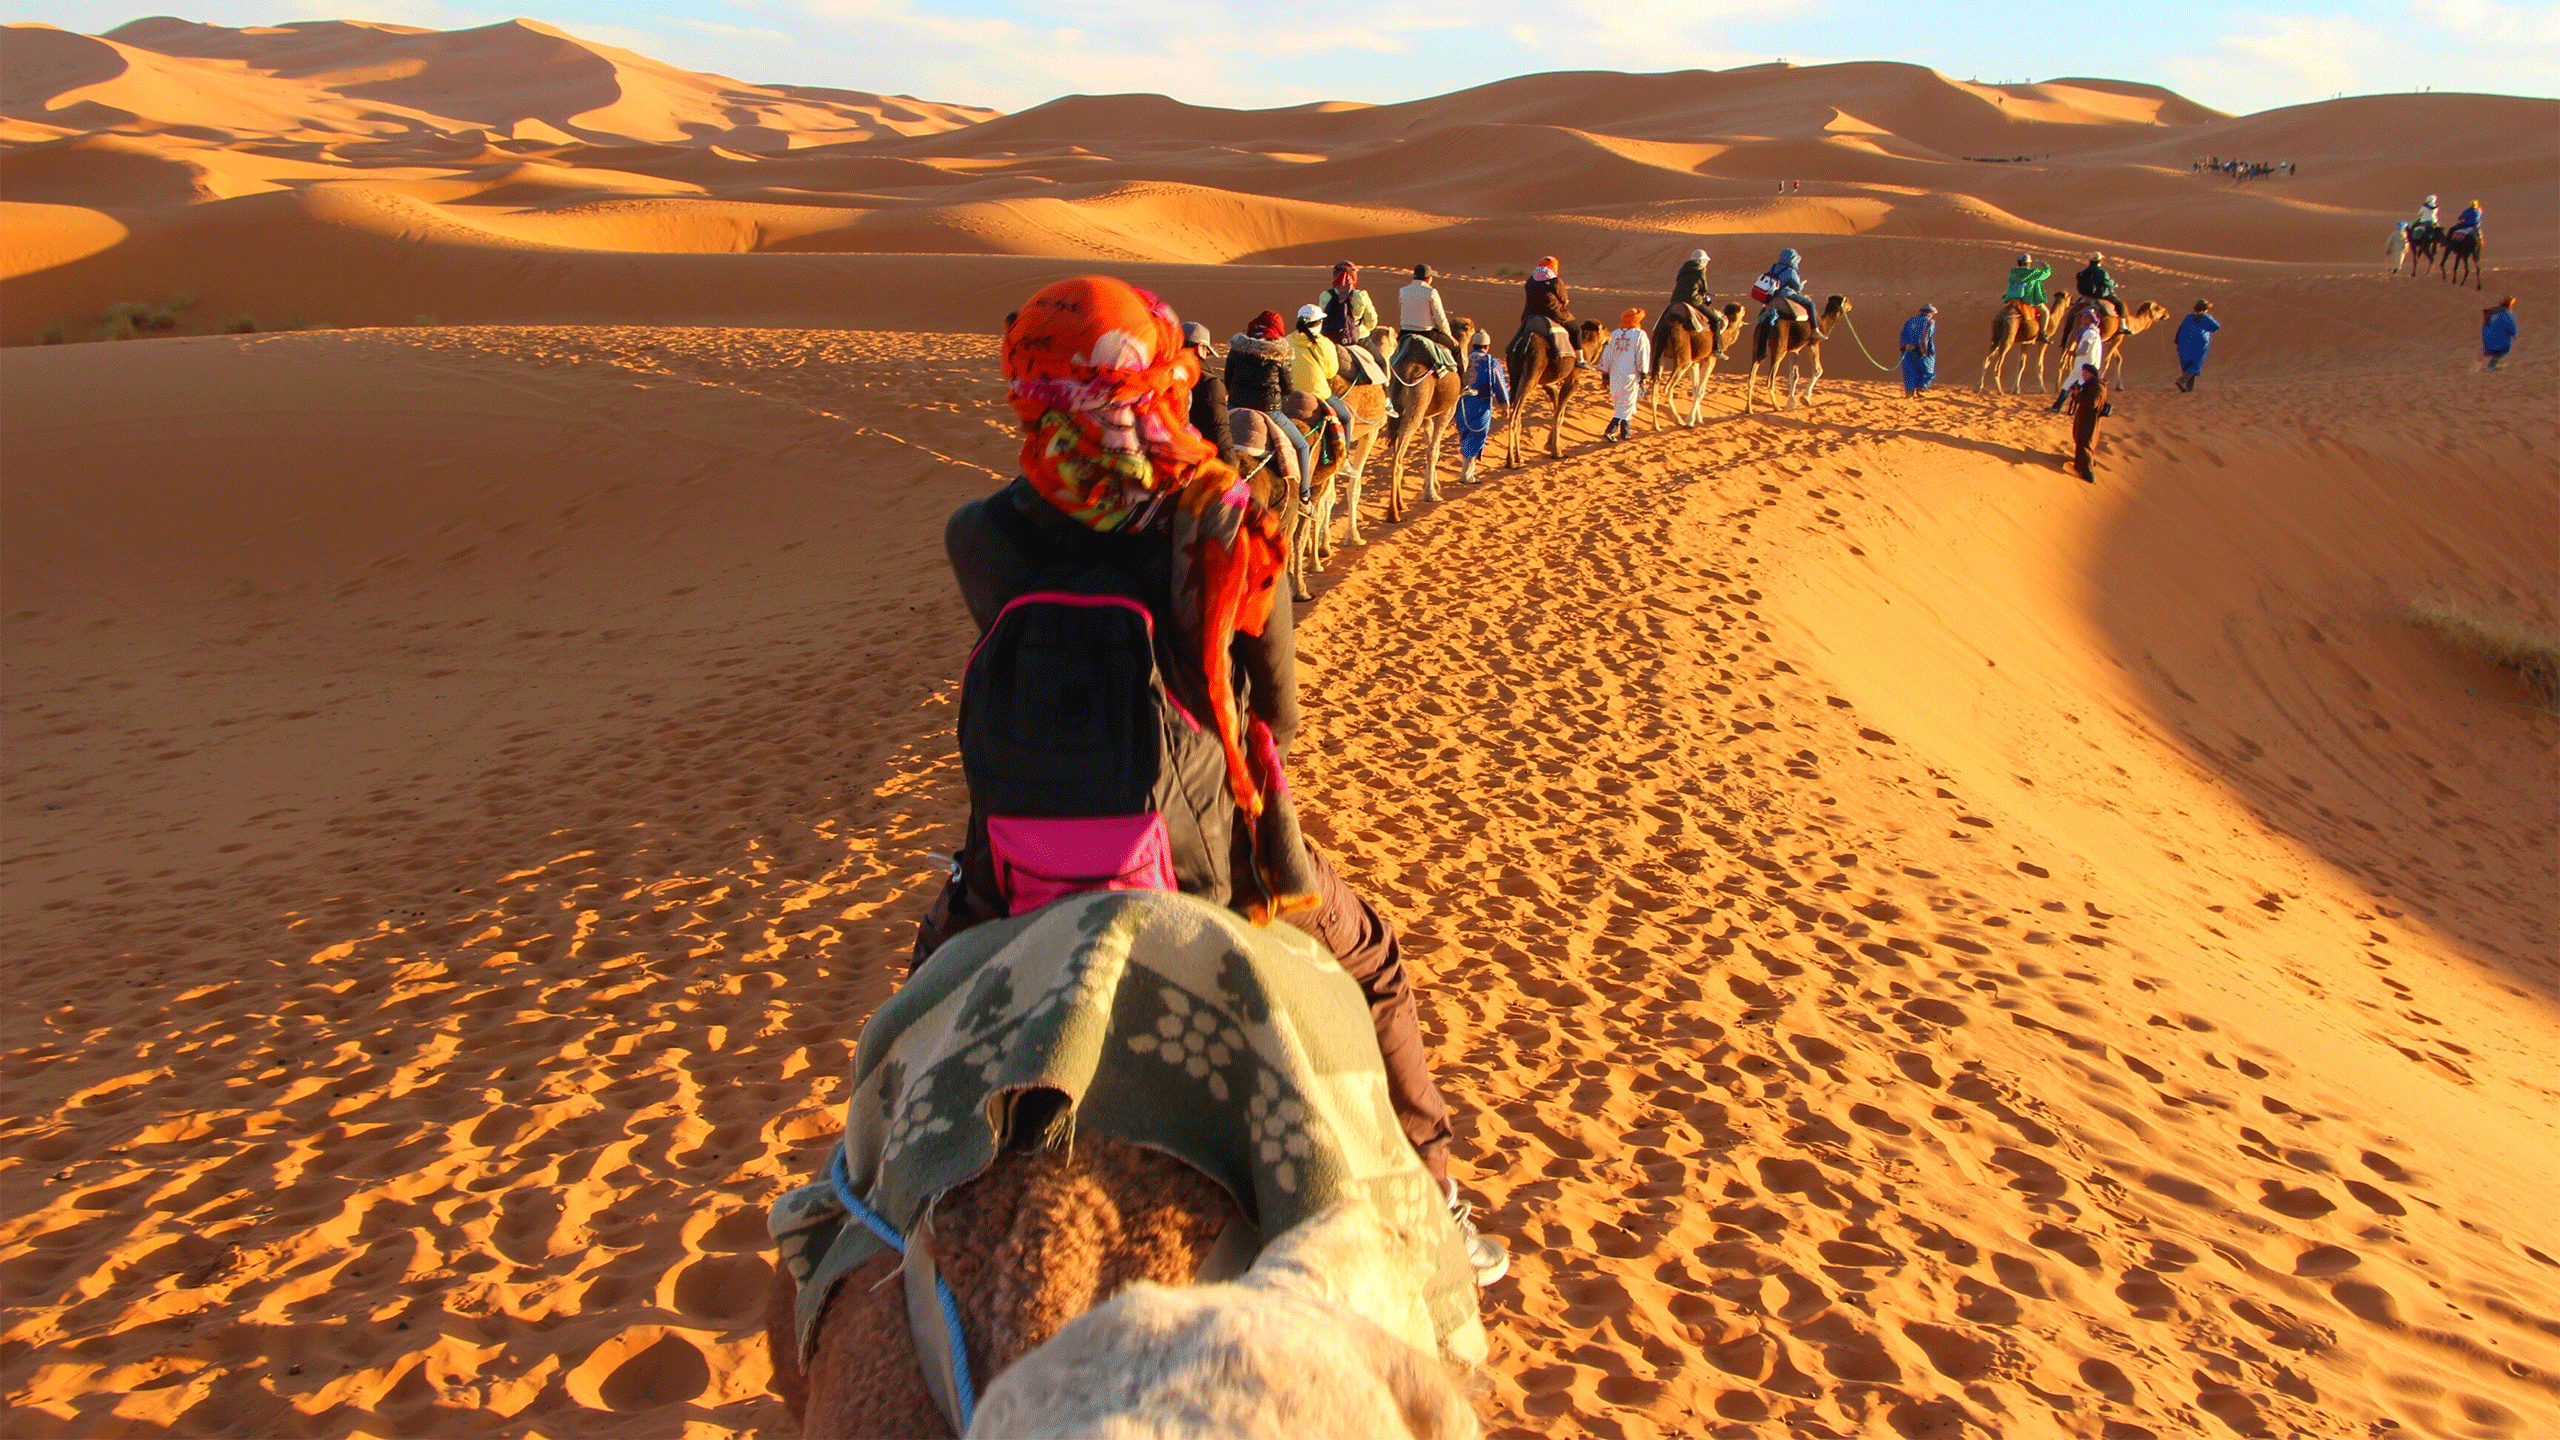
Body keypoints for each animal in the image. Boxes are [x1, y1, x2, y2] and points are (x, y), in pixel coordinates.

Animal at [1495, 316, 1597, 461]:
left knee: (1515, 411)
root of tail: (1526, 341)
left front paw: (1550, 446)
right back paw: (1512, 461)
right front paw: (1557, 452)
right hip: (1532, 372)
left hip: (1514, 375)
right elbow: (1559, 415)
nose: (1610, 336)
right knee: (1515, 415)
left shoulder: (1550, 385)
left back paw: (1518, 457)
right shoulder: (1572, 380)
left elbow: (1557, 412)